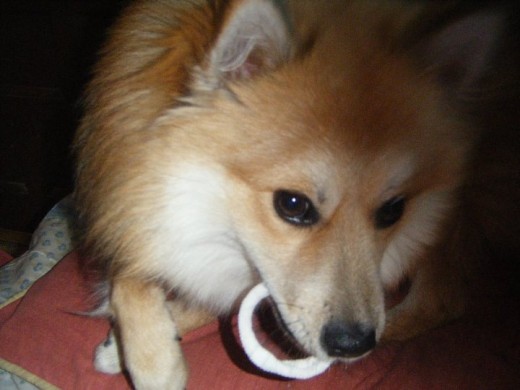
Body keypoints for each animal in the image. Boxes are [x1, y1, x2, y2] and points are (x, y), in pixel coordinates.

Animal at [72, 0, 516, 388]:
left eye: (393, 210)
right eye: (293, 205)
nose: (353, 344)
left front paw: (148, 356)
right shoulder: (124, 188)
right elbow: (136, 271)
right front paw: (147, 345)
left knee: (442, 300)